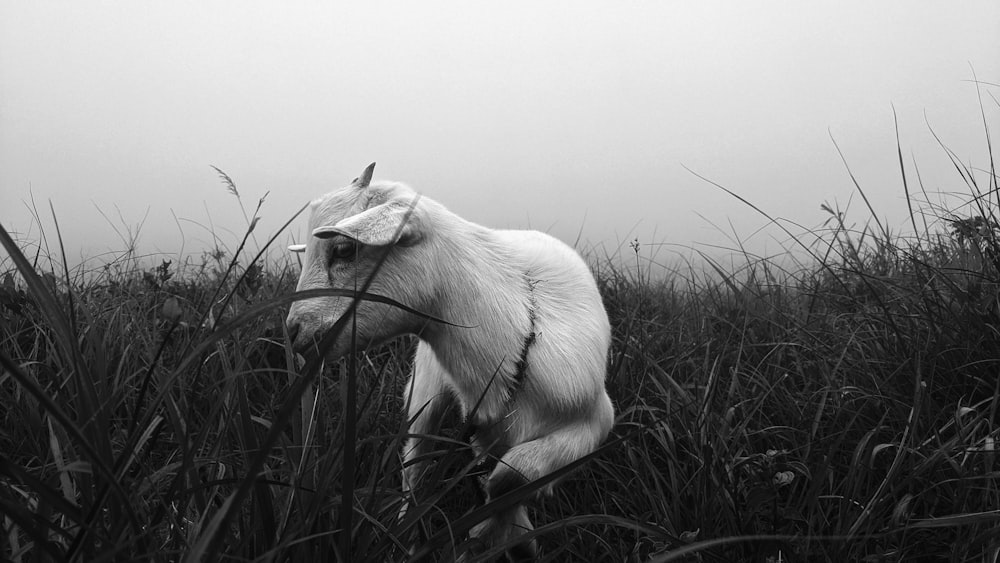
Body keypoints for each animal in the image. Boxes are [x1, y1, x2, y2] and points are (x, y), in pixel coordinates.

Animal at [284, 163, 616, 560]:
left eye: (344, 249)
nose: (293, 330)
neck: (521, 331)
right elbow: (501, 481)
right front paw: (501, 535)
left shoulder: (592, 421)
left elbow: (510, 478)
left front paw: (507, 535)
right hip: (425, 390)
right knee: (414, 465)